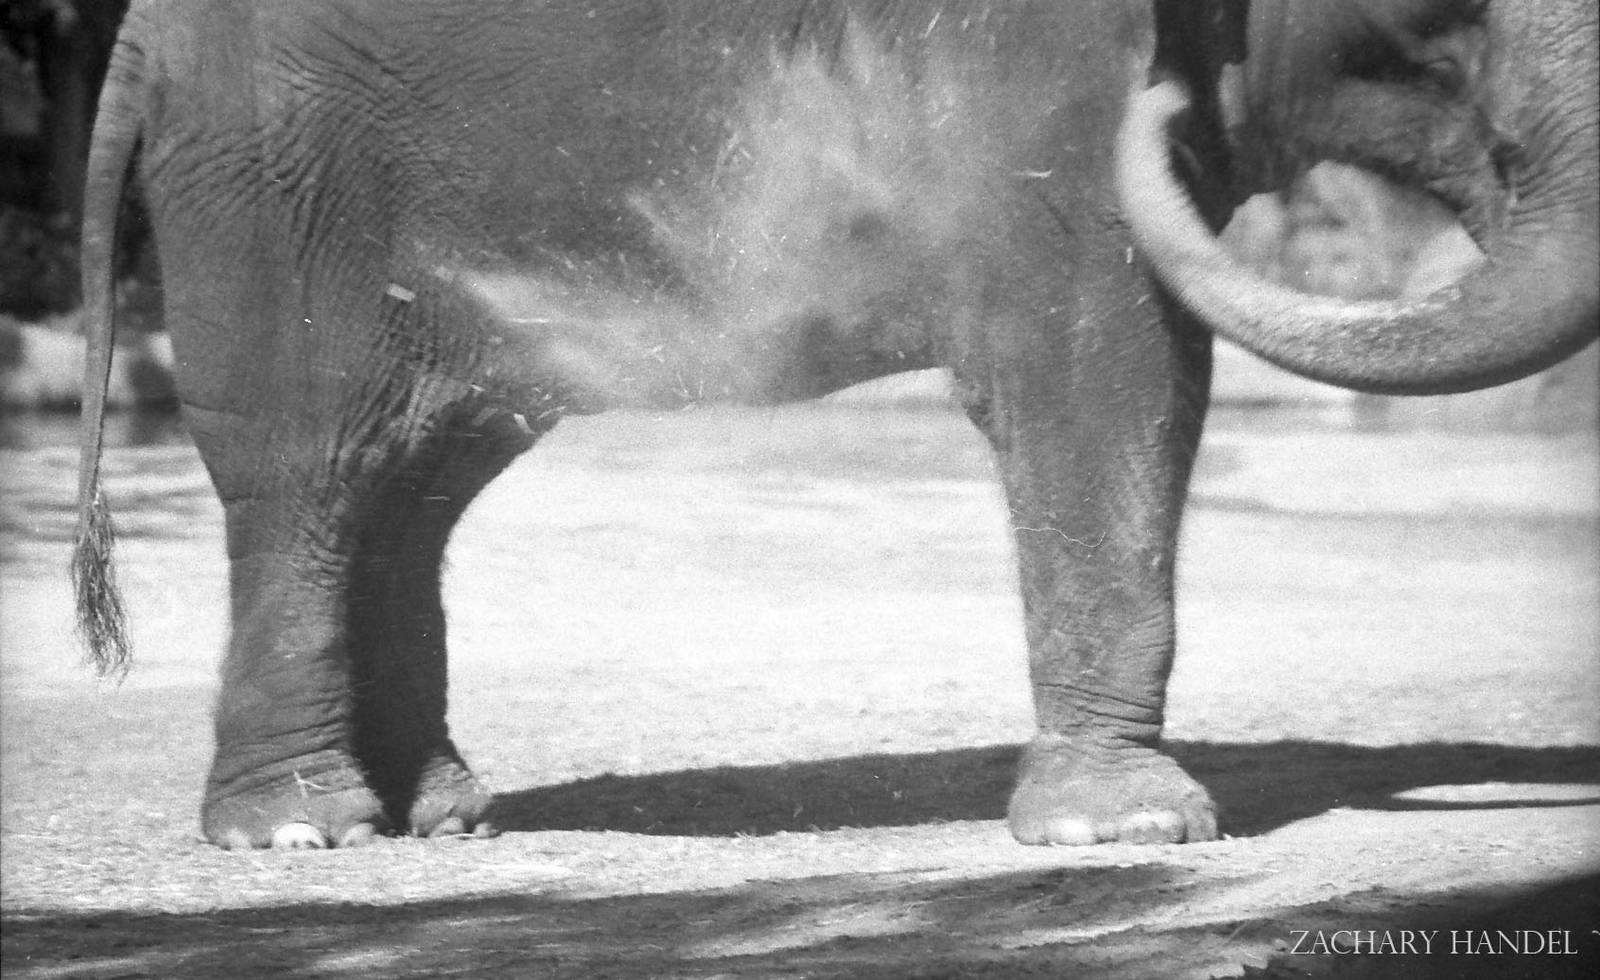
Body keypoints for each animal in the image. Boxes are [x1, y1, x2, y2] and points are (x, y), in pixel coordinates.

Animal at [72, 0, 1596, 850]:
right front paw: (1127, 829)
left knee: (418, 483)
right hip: (275, 185)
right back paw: (297, 835)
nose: (1165, 101)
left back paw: (438, 813)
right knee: (311, 471)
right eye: (1445, 16)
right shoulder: (1045, 87)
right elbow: (1115, 370)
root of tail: (131, 43)